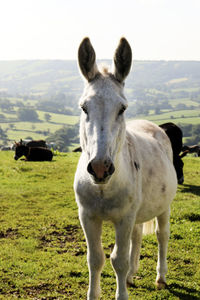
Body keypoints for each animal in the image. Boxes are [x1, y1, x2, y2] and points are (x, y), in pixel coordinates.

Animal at [73, 37, 177, 300]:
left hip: (163, 207)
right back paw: (131, 276)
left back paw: (160, 277)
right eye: (84, 108)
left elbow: (118, 260)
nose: (100, 168)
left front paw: (121, 292)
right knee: (137, 235)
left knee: (162, 235)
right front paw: (94, 294)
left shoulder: (124, 217)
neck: (103, 188)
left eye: (122, 109)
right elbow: (95, 259)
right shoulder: (87, 216)